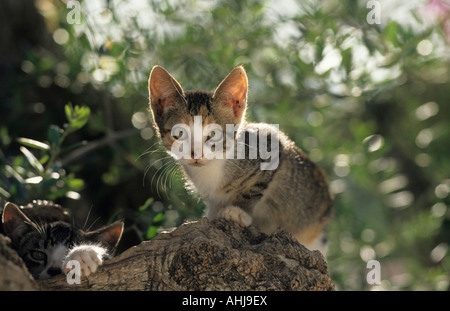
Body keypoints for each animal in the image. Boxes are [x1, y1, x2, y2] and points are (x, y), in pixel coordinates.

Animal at [148, 64, 334, 255]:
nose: (196, 154)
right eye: (179, 134)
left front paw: (238, 211)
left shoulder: (272, 143)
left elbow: (254, 187)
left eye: (213, 134)